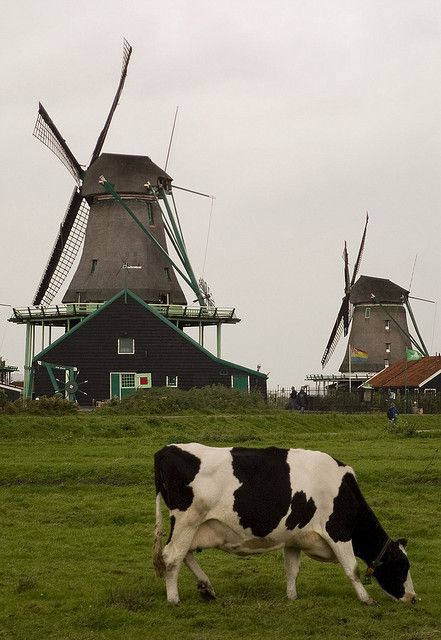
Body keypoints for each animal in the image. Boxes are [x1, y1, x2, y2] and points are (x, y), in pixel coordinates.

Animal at [153, 444, 414, 604]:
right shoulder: (338, 531)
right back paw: (173, 599)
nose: (413, 597)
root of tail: (166, 449)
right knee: (171, 556)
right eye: (402, 566)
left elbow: (291, 569)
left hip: (196, 527)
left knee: (184, 554)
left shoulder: (295, 537)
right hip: (188, 520)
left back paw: (206, 587)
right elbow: (352, 569)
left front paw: (291, 596)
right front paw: (366, 598)